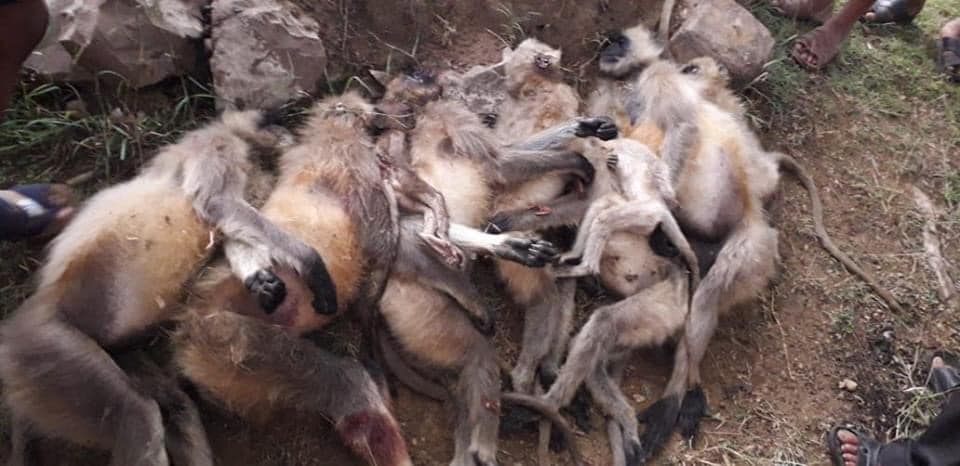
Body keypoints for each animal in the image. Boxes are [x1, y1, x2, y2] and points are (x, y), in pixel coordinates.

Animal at [0, 110, 338, 466]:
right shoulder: (217, 144)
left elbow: (228, 231)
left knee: (176, 408)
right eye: (275, 122)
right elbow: (217, 204)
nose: (285, 132)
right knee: (137, 413)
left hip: (116, 351)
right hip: (48, 343)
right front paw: (312, 266)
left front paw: (261, 282)